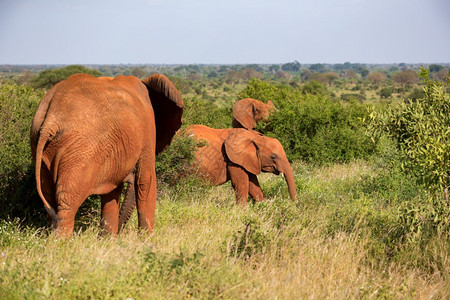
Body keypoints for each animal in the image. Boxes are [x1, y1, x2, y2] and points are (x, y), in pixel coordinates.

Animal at [29, 73, 183, 237]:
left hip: (39, 143)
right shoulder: (147, 132)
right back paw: (62, 242)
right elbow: (145, 180)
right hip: (80, 151)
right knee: (67, 202)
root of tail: (51, 119)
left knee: (49, 198)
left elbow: (112, 191)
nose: (120, 233)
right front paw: (146, 240)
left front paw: (107, 240)